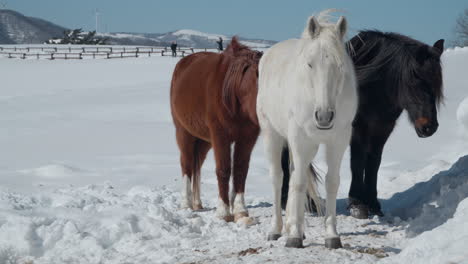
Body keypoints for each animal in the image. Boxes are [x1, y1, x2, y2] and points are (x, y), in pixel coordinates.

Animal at [170, 37, 262, 222]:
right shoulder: (221, 136)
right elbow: (224, 170)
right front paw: (223, 212)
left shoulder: (247, 138)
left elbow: (241, 170)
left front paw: (240, 210)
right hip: (184, 133)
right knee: (187, 164)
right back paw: (186, 204)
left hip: (204, 140)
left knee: (197, 165)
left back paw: (197, 203)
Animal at [258, 11, 356, 249]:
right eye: (310, 65)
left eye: (340, 66)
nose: (324, 116)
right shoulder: (300, 140)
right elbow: (299, 183)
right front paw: (293, 235)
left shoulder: (338, 140)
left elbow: (332, 182)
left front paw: (331, 235)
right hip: (272, 135)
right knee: (279, 178)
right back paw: (277, 229)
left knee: (293, 174)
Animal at [280, 30, 444, 219]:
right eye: (414, 81)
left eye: (437, 84)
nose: (429, 127)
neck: (371, 88)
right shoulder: (358, 129)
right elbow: (357, 161)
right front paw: (357, 204)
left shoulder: (382, 130)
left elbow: (374, 163)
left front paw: (373, 203)